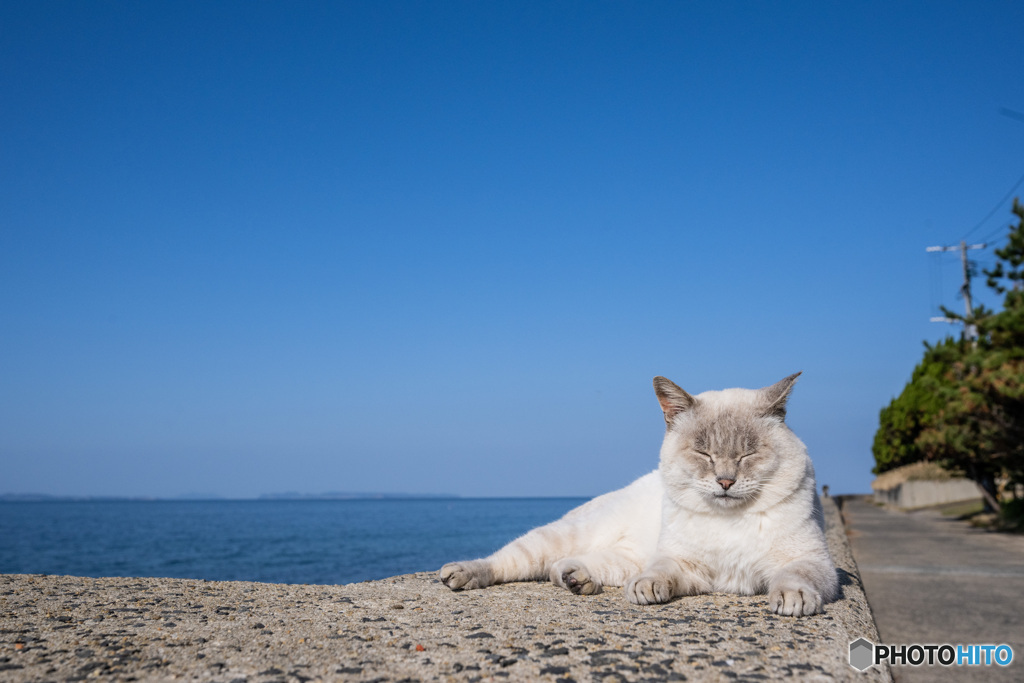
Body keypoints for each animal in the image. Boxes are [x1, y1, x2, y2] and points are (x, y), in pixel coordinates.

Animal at [440, 376, 839, 618]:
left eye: (747, 455)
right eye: (704, 454)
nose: (725, 481)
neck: (730, 520)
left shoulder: (812, 561)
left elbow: (794, 576)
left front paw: (792, 599)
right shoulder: (681, 564)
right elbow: (658, 573)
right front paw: (647, 589)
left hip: (620, 559)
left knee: (565, 567)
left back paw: (577, 580)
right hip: (557, 538)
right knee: (506, 561)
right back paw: (458, 574)